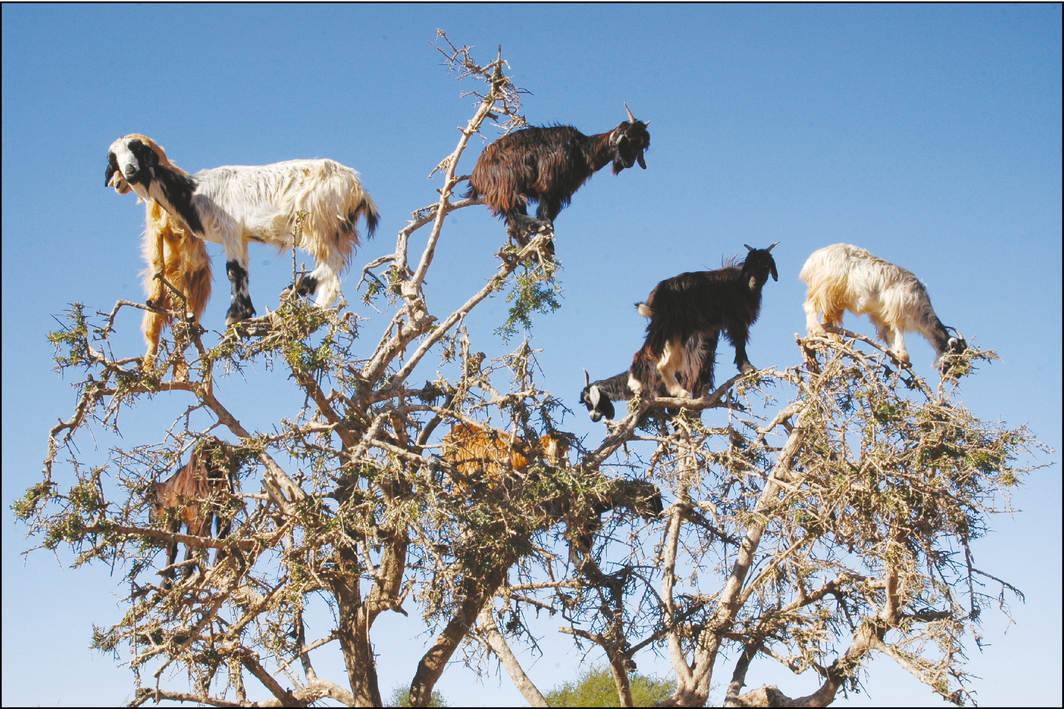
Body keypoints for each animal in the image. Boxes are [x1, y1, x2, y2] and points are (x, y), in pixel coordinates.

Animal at [105, 134, 380, 325]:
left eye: (138, 150)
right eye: (113, 158)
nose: (129, 173)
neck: (193, 192)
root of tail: (357, 188)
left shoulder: (230, 230)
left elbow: (233, 272)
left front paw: (235, 315)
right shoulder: (241, 237)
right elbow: (243, 271)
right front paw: (244, 312)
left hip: (317, 221)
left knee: (332, 261)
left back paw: (295, 290)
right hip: (336, 230)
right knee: (334, 272)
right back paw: (315, 308)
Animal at [466, 103, 646, 250]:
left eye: (642, 145)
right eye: (629, 139)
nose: (629, 162)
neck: (583, 151)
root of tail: (476, 174)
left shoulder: (559, 192)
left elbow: (549, 211)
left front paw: (547, 242)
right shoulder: (549, 184)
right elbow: (545, 212)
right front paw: (546, 231)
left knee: (513, 222)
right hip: (506, 186)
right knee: (514, 215)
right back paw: (539, 229)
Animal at [625, 242, 778, 398]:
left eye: (766, 265)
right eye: (749, 265)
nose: (753, 283)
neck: (741, 284)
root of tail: (656, 294)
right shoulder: (736, 318)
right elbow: (740, 342)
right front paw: (747, 367)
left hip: (676, 331)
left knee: (662, 363)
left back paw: (680, 392)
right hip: (665, 325)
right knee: (644, 352)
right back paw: (635, 383)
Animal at [800, 241, 966, 366]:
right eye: (955, 354)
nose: (957, 375)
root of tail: (814, 258)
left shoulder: (880, 315)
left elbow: (888, 333)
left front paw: (895, 356)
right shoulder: (897, 308)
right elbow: (898, 329)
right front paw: (903, 357)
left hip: (834, 298)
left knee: (828, 318)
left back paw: (836, 340)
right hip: (826, 286)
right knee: (810, 305)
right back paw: (817, 330)